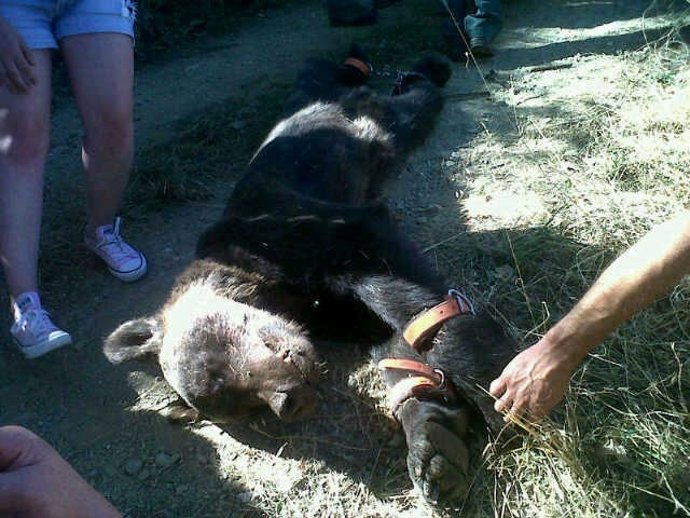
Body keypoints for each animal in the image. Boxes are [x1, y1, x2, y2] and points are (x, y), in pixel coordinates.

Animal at [104, 46, 517, 505]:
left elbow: (415, 306)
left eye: (216, 369)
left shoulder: (310, 234)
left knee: (416, 101)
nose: (291, 402)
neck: (280, 292)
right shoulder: (336, 314)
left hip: (380, 126)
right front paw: (433, 443)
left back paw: (425, 69)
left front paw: (494, 388)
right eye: (248, 409)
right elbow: (394, 343)